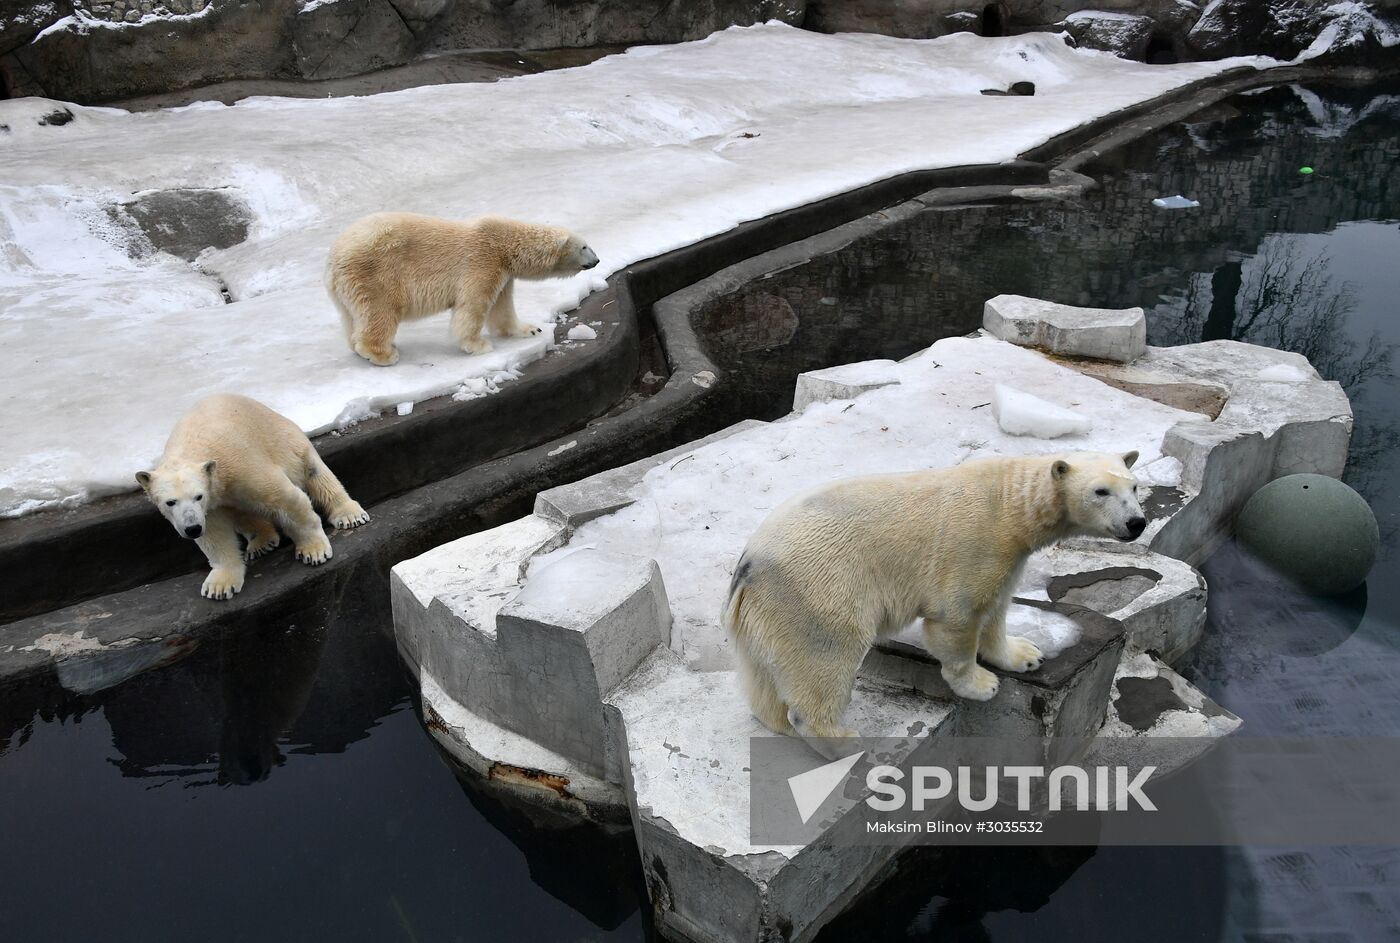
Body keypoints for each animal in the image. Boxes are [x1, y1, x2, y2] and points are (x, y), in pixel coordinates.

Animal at [131, 391, 369, 598]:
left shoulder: (239, 465)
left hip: (284, 439)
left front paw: (313, 552)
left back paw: (350, 515)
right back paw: (261, 542)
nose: (192, 528)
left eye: (198, 496)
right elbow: (215, 535)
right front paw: (219, 587)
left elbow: (287, 499)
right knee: (242, 512)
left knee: (314, 472)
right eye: (170, 502)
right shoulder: (211, 505)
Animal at [324, 211, 599, 366]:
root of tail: (334, 258)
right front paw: (478, 345)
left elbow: (502, 307)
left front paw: (530, 329)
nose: (596, 260)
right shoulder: (482, 261)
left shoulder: (503, 273)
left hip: (348, 288)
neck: (505, 244)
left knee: (352, 318)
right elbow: (473, 305)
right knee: (380, 312)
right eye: (584, 246)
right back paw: (383, 354)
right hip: (377, 276)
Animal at [728, 447, 1142, 755]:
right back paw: (844, 742)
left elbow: (996, 608)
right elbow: (957, 616)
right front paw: (981, 685)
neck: (1009, 503)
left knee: (762, 671)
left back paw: (775, 720)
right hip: (819, 589)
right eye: (1100, 491)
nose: (1136, 523)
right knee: (825, 657)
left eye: (1135, 487)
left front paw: (1026, 654)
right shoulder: (972, 543)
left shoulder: (1008, 555)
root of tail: (748, 564)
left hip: (768, 609)